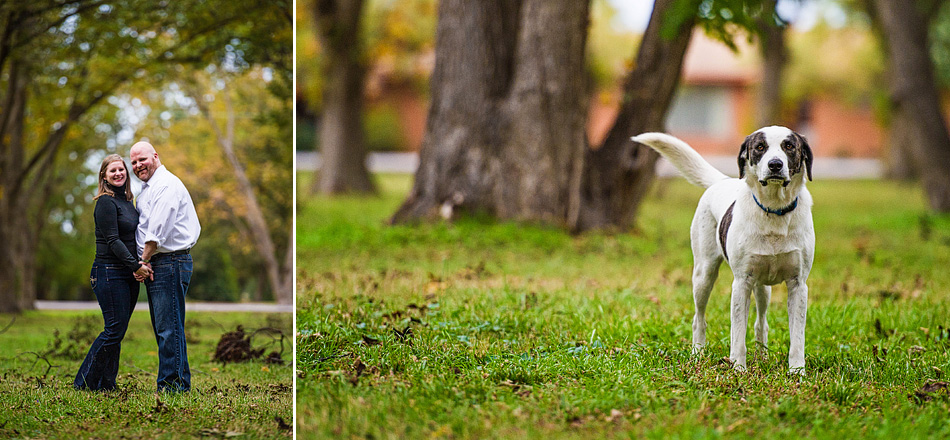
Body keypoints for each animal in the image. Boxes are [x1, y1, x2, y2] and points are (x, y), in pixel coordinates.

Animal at [632, 126, 820, 374]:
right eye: (760, 147)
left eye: (789, 146)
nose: (775, 165)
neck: (773, 210)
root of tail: (722, 181)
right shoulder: (741, 283)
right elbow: (737, 334)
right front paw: (738, 368)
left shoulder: (798, 284)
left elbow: (797, 337)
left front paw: (797, 372)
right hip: (704, 275)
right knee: (699, 318)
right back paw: (698, 353)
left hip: (763, 287)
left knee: (761, 322)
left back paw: (762, 356)